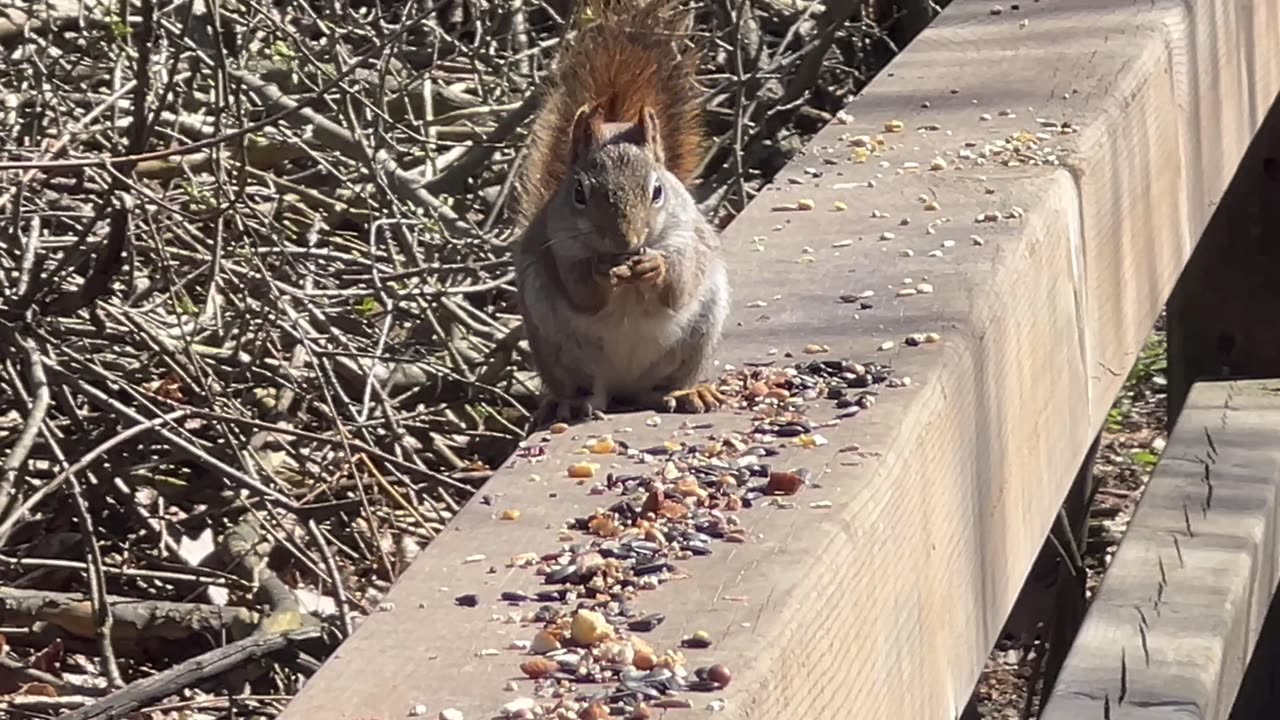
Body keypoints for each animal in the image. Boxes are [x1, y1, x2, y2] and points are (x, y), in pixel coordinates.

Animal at [509, 0, 732, 422]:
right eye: (579, 193)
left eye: (658, 191)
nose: (624, 241)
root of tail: (624, 388)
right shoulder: (558, 245)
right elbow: (581, 290)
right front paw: (602, 269)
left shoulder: (686, 236)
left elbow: (679, 284)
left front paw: (653, 266)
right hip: (557, 347)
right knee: (585, 388)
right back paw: (573, 403)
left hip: (699, 332)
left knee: (663, 384)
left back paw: (686, 392)